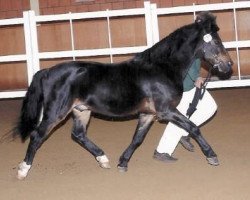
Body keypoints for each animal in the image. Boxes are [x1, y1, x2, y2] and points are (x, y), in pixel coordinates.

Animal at [16, 11, 233, 179]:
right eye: (215, 41)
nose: (228, 65)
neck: (162, 68)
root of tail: (47, 71)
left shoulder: (148, 114)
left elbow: (137, 139)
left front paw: (122, 163)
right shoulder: (166, 111)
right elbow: (193, 127)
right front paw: (212, 156)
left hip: (81, 110)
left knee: (78, 134)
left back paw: (103, 159)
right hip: (56, 112)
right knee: (37, 135)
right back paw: (23, 170)